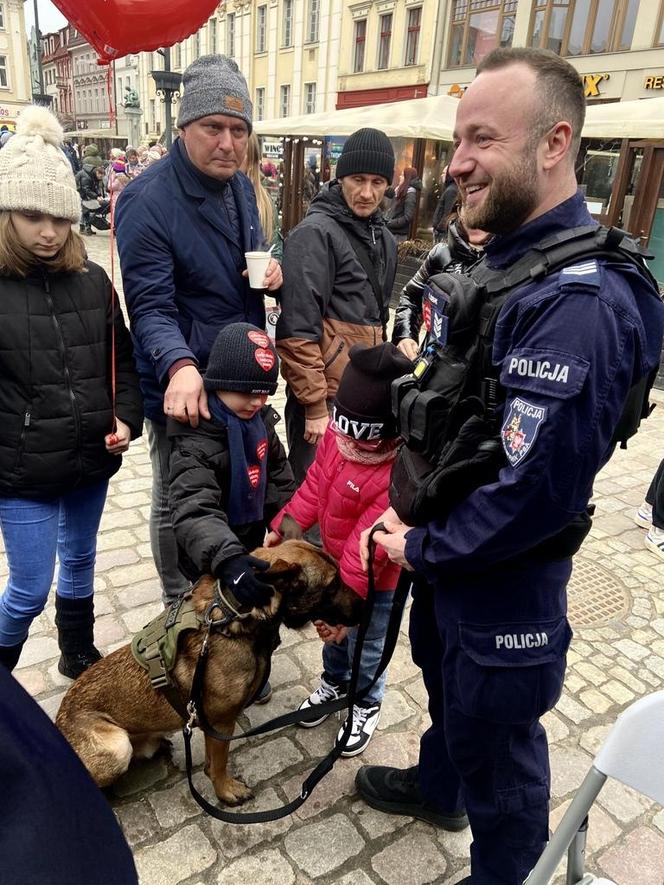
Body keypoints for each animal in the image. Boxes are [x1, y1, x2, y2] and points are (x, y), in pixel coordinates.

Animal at [54, 544, 360, 804]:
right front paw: (225, 791)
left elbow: (213, 761)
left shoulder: (210, 723)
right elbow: (220, 763)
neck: (236, 615)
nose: (365, 603)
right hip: (118, 747)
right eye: (333, 584)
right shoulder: (222, 723)